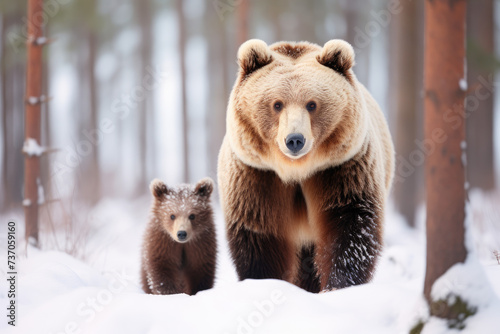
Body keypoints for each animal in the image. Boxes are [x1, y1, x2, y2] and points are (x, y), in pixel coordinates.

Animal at [219, 39, 394, 292]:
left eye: (312, 104)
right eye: (277, 104)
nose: (294, 139)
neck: (296, 170)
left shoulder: (341, 169)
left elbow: (349, 226)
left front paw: (338, 285)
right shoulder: (257, 175)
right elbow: (260, 234)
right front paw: (266, 282)